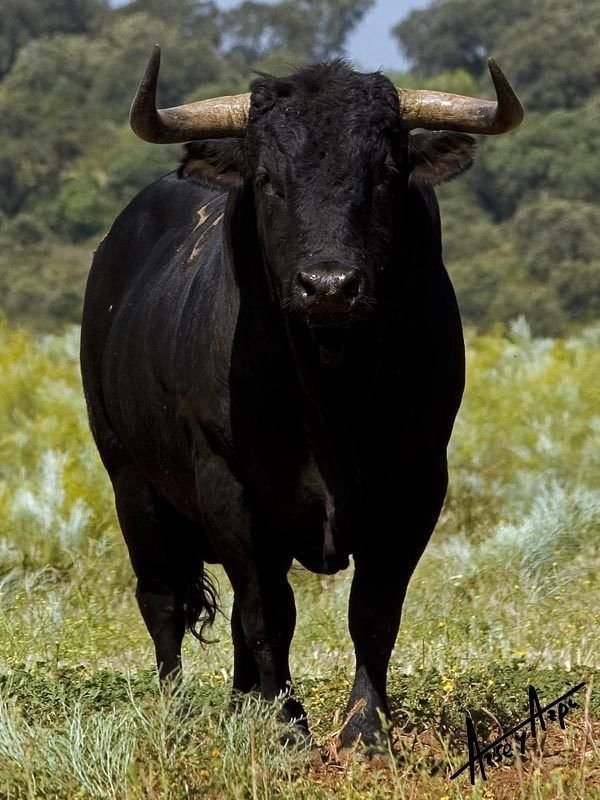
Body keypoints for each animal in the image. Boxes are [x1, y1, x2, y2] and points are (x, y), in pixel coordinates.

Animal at [80, 47, 522, 753]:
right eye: (268, 179)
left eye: (385, 172)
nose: (329, 285)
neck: (331, 390)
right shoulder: (229, 487)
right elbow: (269, 614)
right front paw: (288, 728)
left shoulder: (419, 483)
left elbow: (373, 611)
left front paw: (366, 730)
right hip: (131, 481)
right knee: (164, 600)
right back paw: (177, 717)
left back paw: (241, 707)